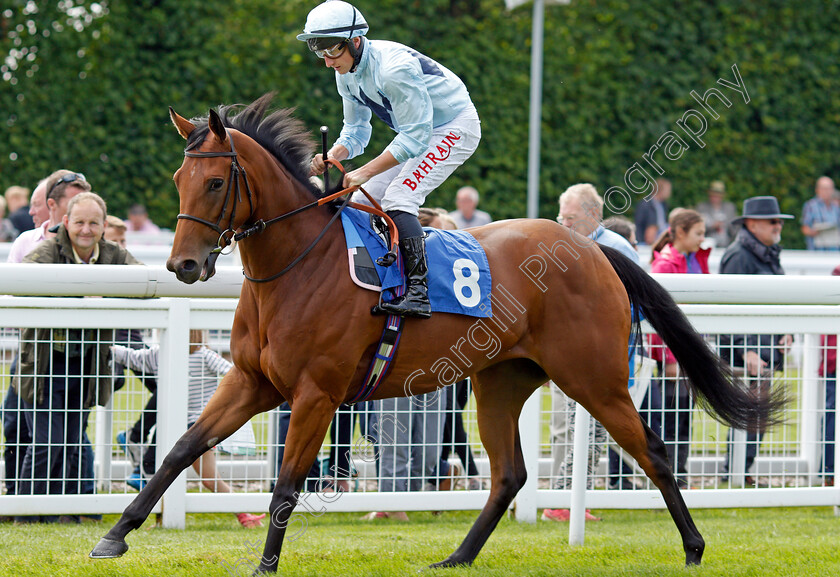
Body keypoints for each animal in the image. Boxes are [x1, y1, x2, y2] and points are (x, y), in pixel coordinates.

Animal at [90, 92, 780, 568]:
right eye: (177, 180)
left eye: (214, 181)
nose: (184, 265)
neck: (295, 266)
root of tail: (592, 248)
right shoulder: (254, 382)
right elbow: (180, 449)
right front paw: (113, 537)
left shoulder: (316, 392)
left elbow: (286, 484)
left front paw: (264, 567)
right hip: (501, 380)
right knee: (509, 475)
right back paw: (456, 557)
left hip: (595, 377)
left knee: (653, 451)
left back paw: (693, 547)